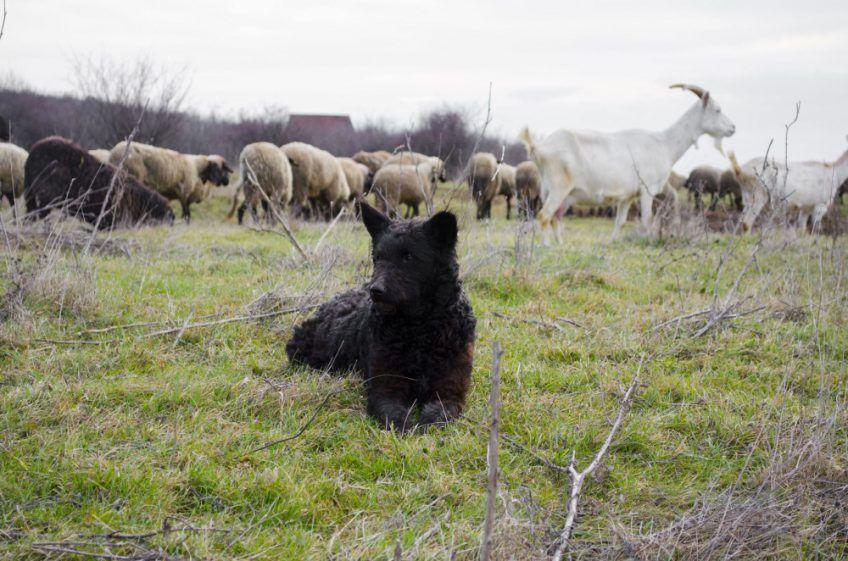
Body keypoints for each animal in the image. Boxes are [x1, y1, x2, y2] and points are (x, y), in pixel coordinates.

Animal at [286, 203, 476, 430]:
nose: (375, 290)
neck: (419, 327)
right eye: (377, 258)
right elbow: (394, 416)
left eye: (409, 257)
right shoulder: (385, 388)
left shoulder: (450, 390)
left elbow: (439, 414)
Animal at [516, 83, 736, 241]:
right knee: (544, 216)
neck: (664, 143)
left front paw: (612, 243)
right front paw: (647, 242)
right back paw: (546, 247)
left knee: (553, 218)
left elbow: (620, 222)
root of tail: (539, 148)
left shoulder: (627, 196)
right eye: (717, 109)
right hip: (559, 186)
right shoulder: (647, 190)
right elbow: (646, 219)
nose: (733, 128)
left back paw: (559, 245)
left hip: (547, 189)